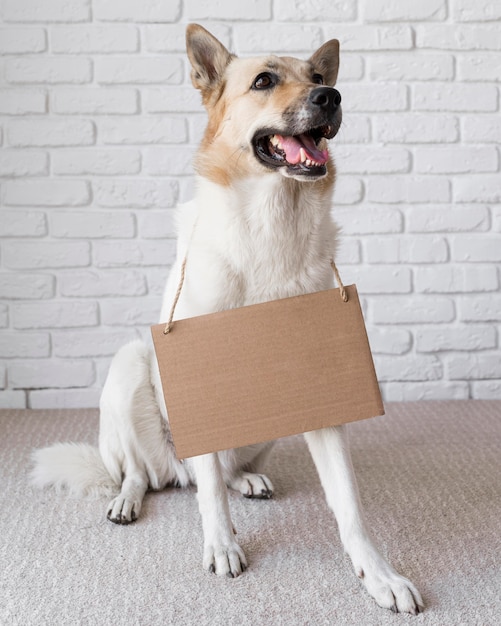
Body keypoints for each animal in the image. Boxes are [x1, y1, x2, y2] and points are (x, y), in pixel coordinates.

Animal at [30, 25, 422, 616]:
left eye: (318, 76)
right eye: (263, 81)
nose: (331, 97)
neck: (271, 224)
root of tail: (174, 471)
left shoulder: (326, 399)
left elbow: (349, 506)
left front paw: (379, 576)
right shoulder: (198, 388)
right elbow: (210, 493)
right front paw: (221, 546)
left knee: (219, 471)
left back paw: (248, 480)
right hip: (130, 367)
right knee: (148, 473)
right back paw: (129, 499)